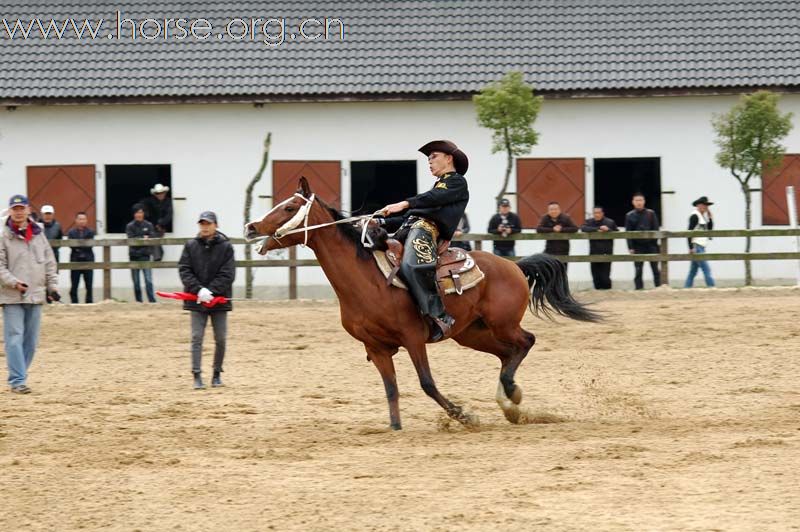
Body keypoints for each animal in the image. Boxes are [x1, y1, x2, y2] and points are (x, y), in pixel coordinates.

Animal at [247, 178, 596, 428]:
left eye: (290, 207)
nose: (251, 227)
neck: (366, 281)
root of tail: (514, 266)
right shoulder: (376, 347)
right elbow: (391, 390)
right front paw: (395, 427)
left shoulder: (413, 337)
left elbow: (427, 383)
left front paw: (464, 415)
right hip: (472, 333)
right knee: (507, 353)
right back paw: (508, 403)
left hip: (503, 323)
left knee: (526, 341)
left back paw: (512, 394)